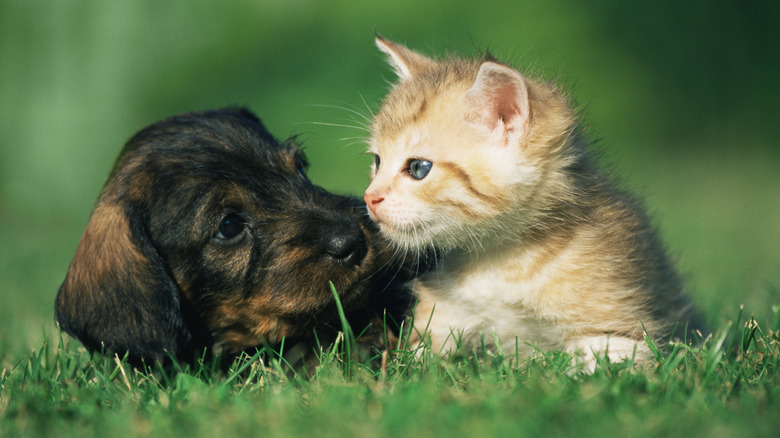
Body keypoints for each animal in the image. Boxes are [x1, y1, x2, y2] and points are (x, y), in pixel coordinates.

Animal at [362, 36, 704, 370]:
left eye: (418, 168)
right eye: (377, 161)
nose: (369, 198)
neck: (497, 262)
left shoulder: (618, 328)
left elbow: (606, 369)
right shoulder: (440, 318)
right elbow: (417, 361)